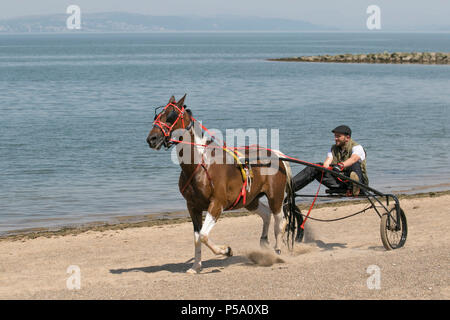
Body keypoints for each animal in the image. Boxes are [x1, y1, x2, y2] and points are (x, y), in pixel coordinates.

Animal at [148, 94, 294, 274]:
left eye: (170, 116)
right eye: (157, 115)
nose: (152, 138)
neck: (200, 166)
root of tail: (275, 154)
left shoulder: (217, 204)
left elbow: (204, 236)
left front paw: (226, 250)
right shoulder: (193, 207)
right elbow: (197, 237)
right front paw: (196, 266)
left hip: (275, 197)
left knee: (279, 222)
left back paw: (277, 251)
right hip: (250, 200)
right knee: (266, 215)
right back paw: (264, 243)